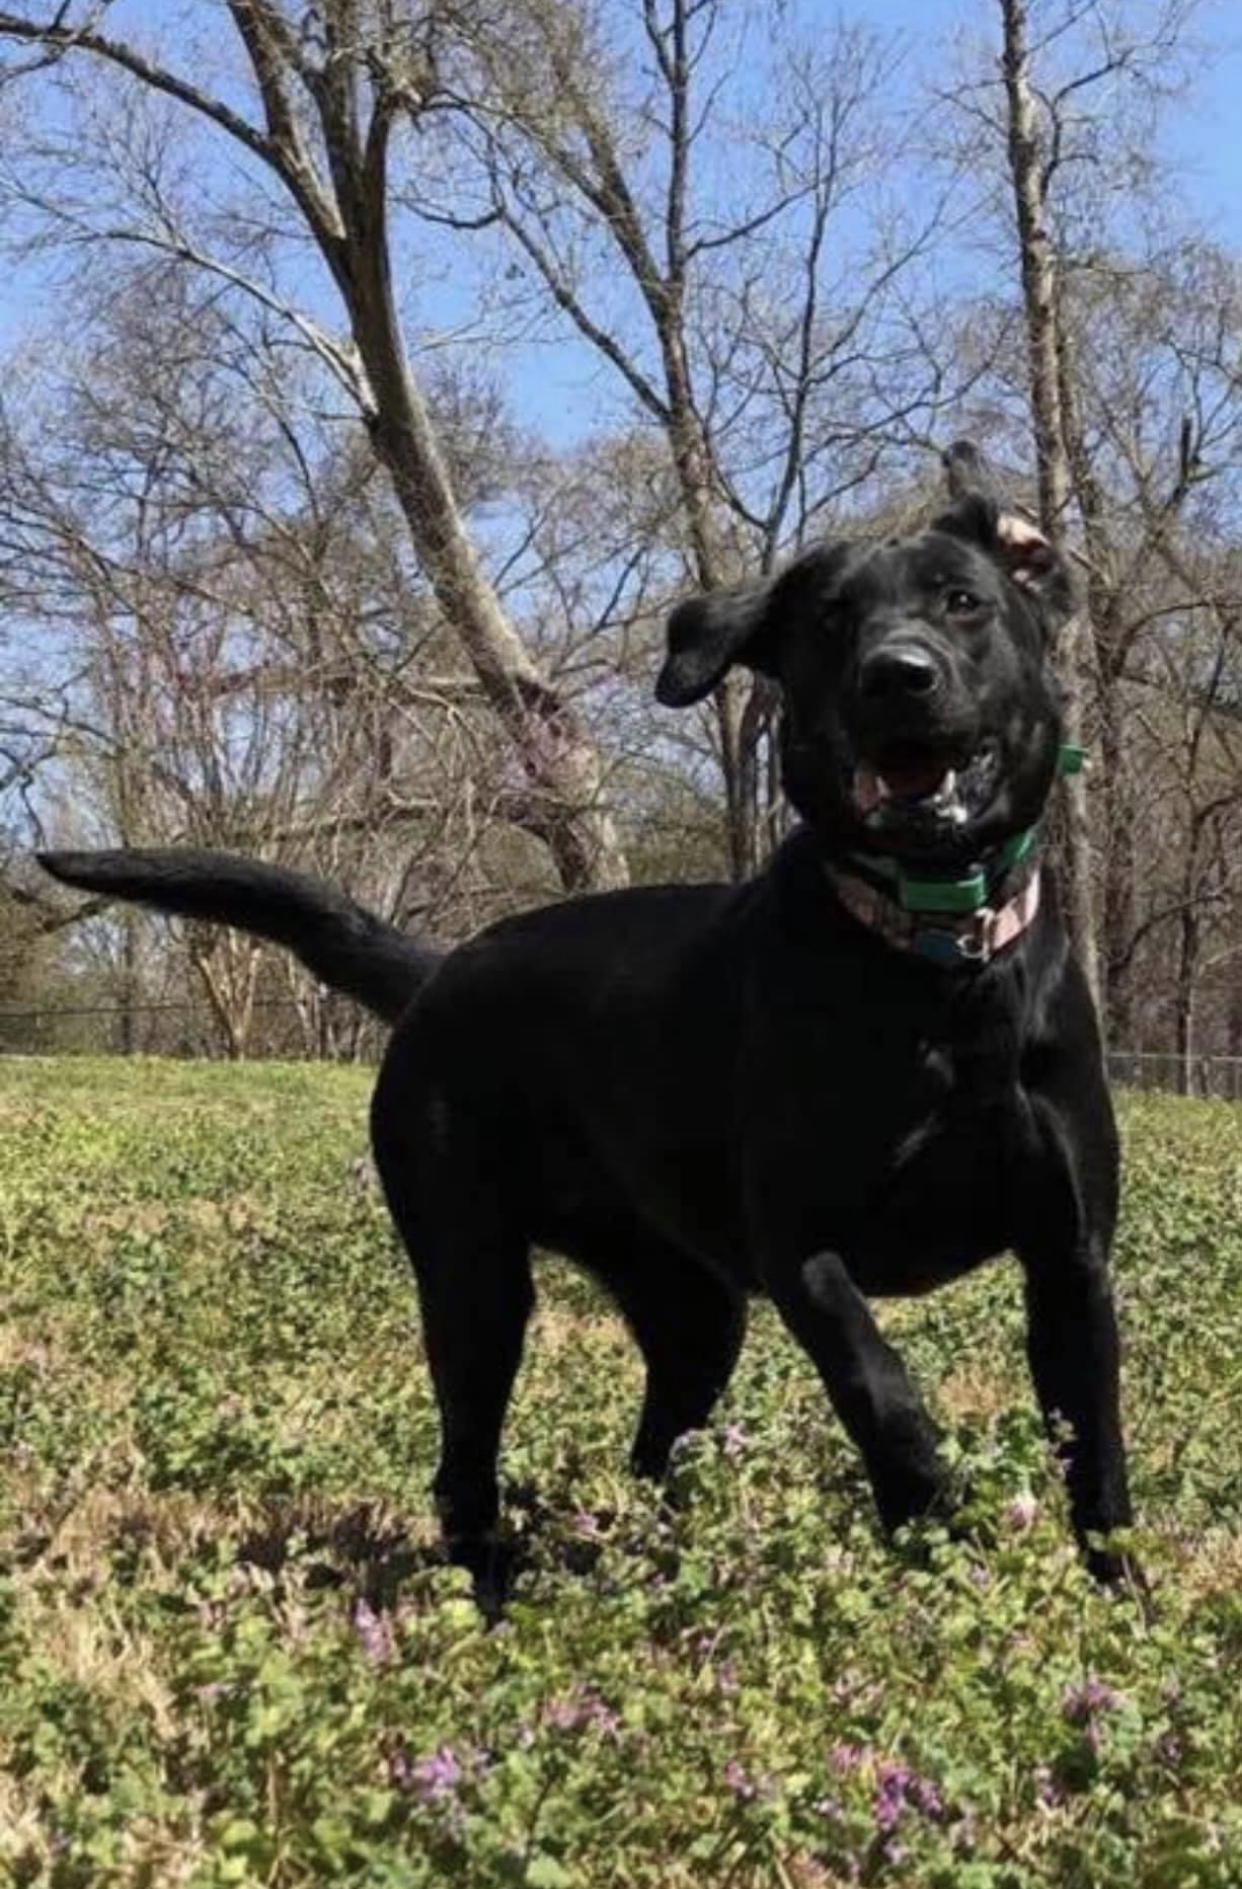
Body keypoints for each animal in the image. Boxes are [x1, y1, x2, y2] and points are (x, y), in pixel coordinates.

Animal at [38, 442, 1126, 1594]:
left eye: (963, 602)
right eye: (832, 621)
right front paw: (931, 1506)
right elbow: (879, 1384)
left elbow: (1095, 1451)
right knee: (464, 1459)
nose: (897, 673)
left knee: (653, 1447)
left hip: (689, 1305)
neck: (935, 958)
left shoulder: (1070, 1258)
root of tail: (443, 968)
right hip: (473, 1273)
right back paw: (490, 1590)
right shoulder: (802, 1247)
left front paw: (1120, 1595)